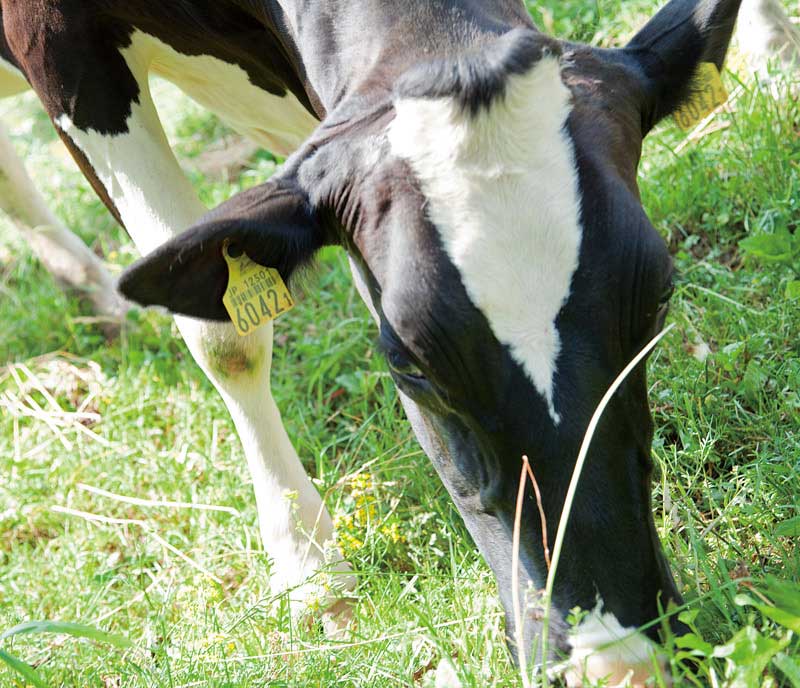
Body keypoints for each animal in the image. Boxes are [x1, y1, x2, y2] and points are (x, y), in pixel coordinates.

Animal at [0, 0, 779, 684]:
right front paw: (313, 575)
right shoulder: (61, 48)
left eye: (659, 298)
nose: (619, 663)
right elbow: (227, 338)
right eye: (410, 365)